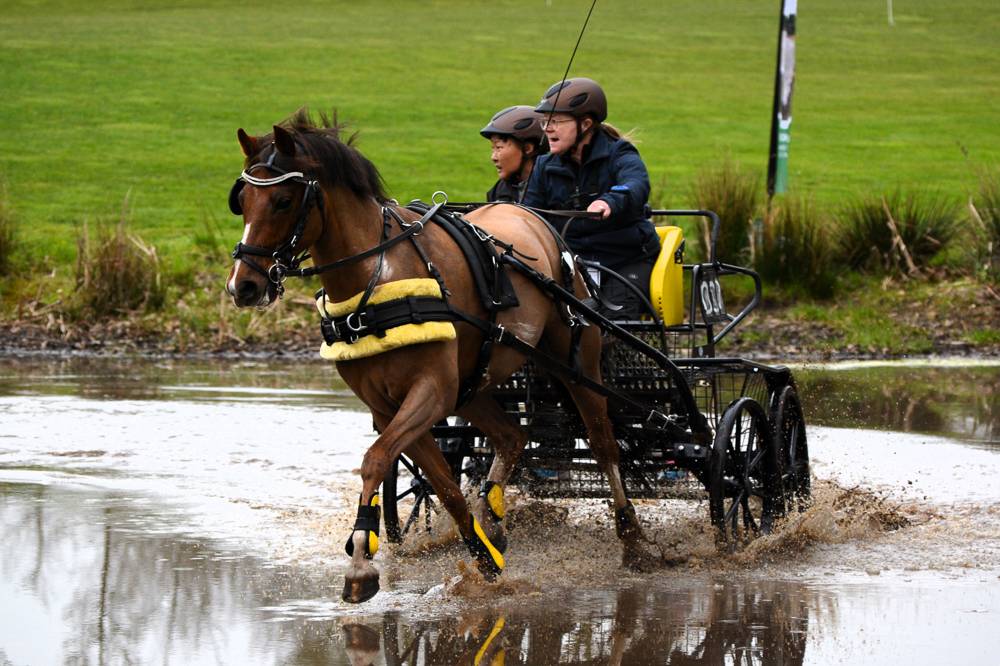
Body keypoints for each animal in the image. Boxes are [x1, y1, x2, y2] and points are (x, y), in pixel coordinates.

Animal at [225, 110, 658, 603]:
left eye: (282, 200)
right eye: (241, 200)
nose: (243, 286)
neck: (377, 278)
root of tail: (536, 218)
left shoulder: (430, 391)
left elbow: (376, 460)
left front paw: (361, 563)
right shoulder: (390, 406)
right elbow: (444, 487)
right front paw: (485, 556)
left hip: (575, 362)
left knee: (604, 445)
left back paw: (632, 538)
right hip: (472, 384)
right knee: (512, 436)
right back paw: (494, 515)